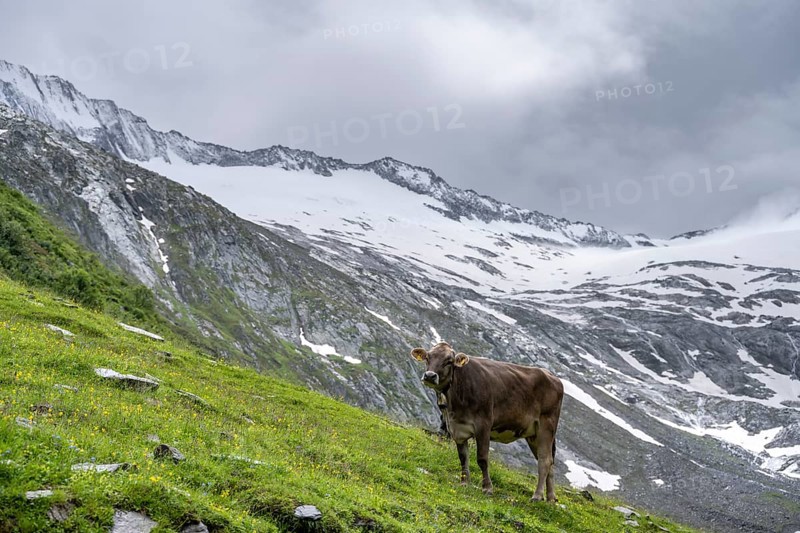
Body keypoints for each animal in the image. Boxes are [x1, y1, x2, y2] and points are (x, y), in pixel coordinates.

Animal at [411, 342, 564, 501]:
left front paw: (487, 488)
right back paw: (551, 499)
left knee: (544, 461)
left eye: (449, 361)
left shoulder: (483, 425)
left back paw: (537, 496)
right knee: (550, 462)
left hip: (546, 426)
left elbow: (482, 459)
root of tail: (553, 376)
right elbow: (463, 457)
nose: (430, 376)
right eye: (427, 357)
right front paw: (464, 482)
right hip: (533, 435)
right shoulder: (457, 429)